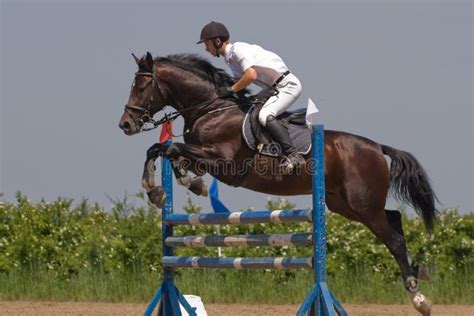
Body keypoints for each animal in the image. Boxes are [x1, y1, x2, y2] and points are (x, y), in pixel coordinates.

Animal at [117, 51, 436, 314]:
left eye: (141, 87)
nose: (125, 124)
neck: (211, 110)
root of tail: (376, 147)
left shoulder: (223, 162)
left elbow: (169, 148)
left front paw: (172, 187)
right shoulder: (202, 157)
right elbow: (161, 151)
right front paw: (165, 189)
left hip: (363, 204)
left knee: (393, 238)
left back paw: (418, 297)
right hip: (346, 205)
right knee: (394, 219)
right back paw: (418, 273)